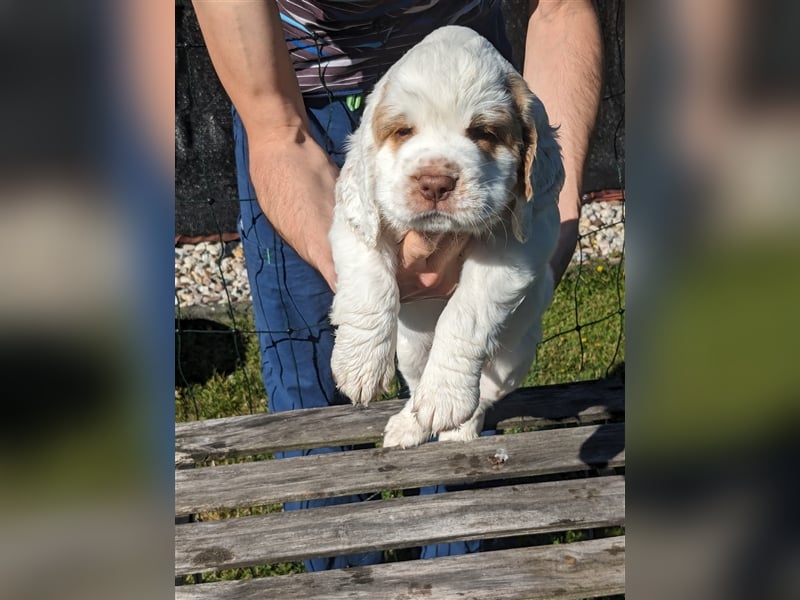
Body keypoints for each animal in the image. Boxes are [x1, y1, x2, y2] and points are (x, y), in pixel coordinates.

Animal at [326, 27, 564, 450]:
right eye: (403, 131)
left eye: (483, 133)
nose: (435, 182)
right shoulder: (355, 220)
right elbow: (370, 284)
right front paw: (359, 366)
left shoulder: (517, 248)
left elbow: (464, 314)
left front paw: (446, 399)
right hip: (410, 347)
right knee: (416, 381)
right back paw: (408, 424)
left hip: (514, 356)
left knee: (485, 391)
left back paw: (457, 426)